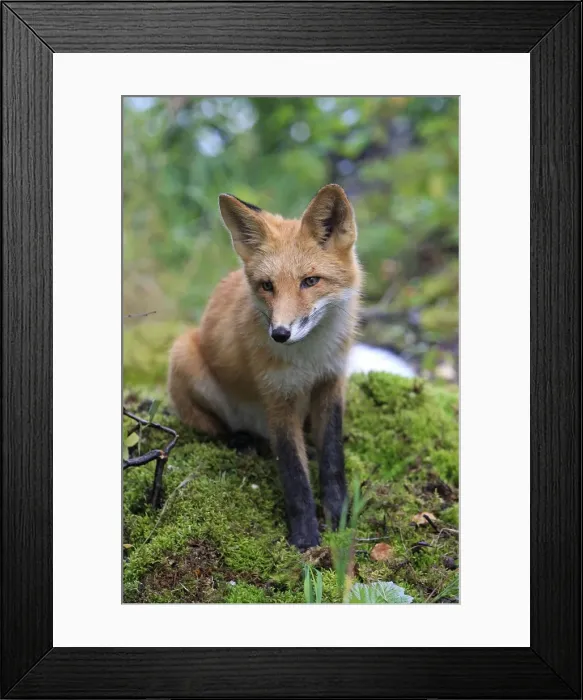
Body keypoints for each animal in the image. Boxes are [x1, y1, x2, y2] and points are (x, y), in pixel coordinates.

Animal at [168, 184, 362, 550]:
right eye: (267, 285)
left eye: (310, 281)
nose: (280, 334)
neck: (310, 358)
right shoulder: (277, 396)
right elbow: (294, 475)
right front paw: (305, 540)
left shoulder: (331, 382)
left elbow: (333, 461)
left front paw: (340, 519)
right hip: (184, 354)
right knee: (217, 428)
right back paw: (242, 441)